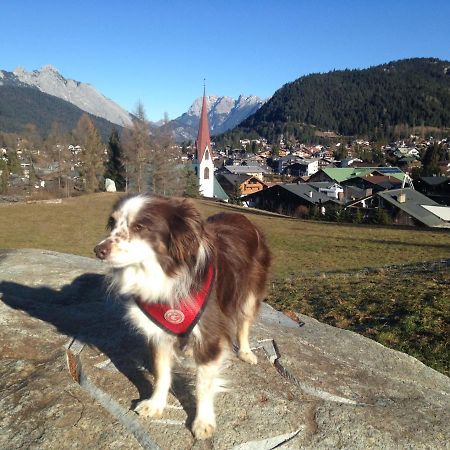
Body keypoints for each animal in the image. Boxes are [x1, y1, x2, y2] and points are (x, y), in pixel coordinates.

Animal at [94, 193, 270, 440]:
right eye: (112, 223)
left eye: (140, 227)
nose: (98, 250)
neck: (163, 271)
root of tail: (242, 216)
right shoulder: (159, 332)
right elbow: (161, 372)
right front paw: (155, 404)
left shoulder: (210, 335)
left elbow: (203, 384)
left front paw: (203, 421)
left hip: (250, 290)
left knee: (244, 322)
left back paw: (246, 352)